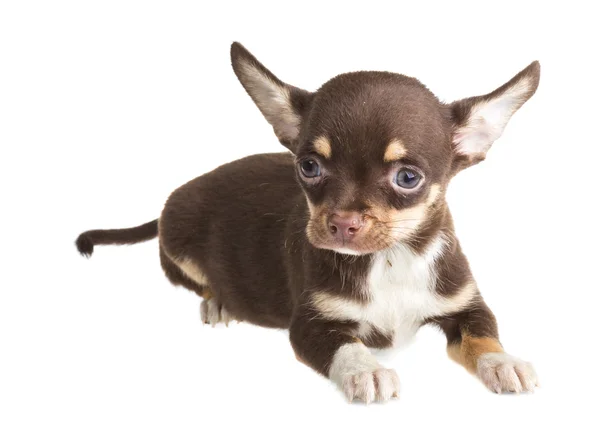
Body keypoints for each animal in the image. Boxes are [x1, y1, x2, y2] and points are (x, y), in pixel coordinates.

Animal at [77, 43, 540, 404]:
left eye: (408, 178)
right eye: (309, 167)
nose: (341, 223)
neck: (389, 259)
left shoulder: (465, 305)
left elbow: (483, 334)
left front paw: (503, 361)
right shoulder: (311, 324)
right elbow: (347, 346)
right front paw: (366, 370)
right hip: (177, 238)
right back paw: (219, 300)